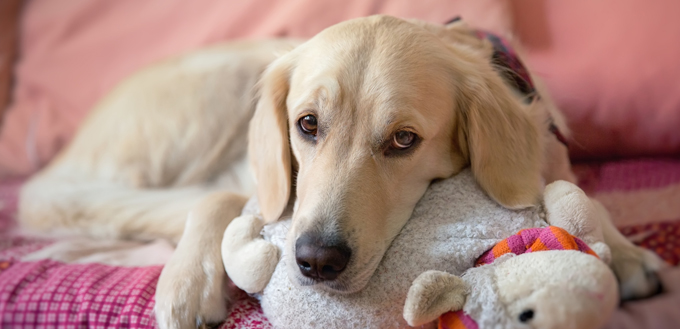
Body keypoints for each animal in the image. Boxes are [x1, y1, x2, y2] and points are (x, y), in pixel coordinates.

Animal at [18, 15, 660, 328]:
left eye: (403, 140)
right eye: (307, 125)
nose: (315, 262)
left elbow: (579, 196)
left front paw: (629, 255)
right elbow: (222, 200)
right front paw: (185, 284)